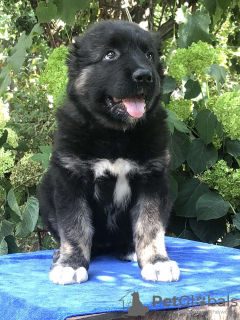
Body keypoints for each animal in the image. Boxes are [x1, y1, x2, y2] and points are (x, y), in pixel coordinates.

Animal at [38, 20, 179, 284]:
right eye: (110, 55)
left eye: (149, 55)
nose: (145, 76)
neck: (115, 134)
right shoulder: (71, 178)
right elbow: (75, 226)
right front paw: (71, 264)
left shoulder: (152, 179)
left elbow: (150, 225)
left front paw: (157, 262)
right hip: (45, 190)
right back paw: (60, 254)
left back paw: (129, 249)